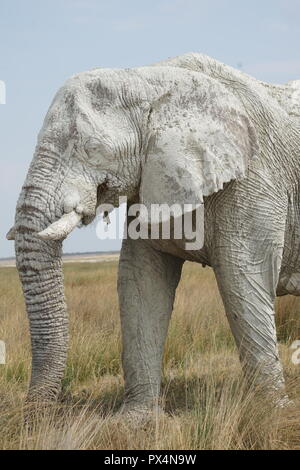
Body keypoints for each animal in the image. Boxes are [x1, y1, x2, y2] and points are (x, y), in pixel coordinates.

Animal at [6, 52, 300, 414]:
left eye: (89, 147)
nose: (36, 414)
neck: (148, 78)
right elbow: (141, 280)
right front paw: (135, 418)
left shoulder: (255, 179)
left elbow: (244, 279)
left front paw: (272, 413)